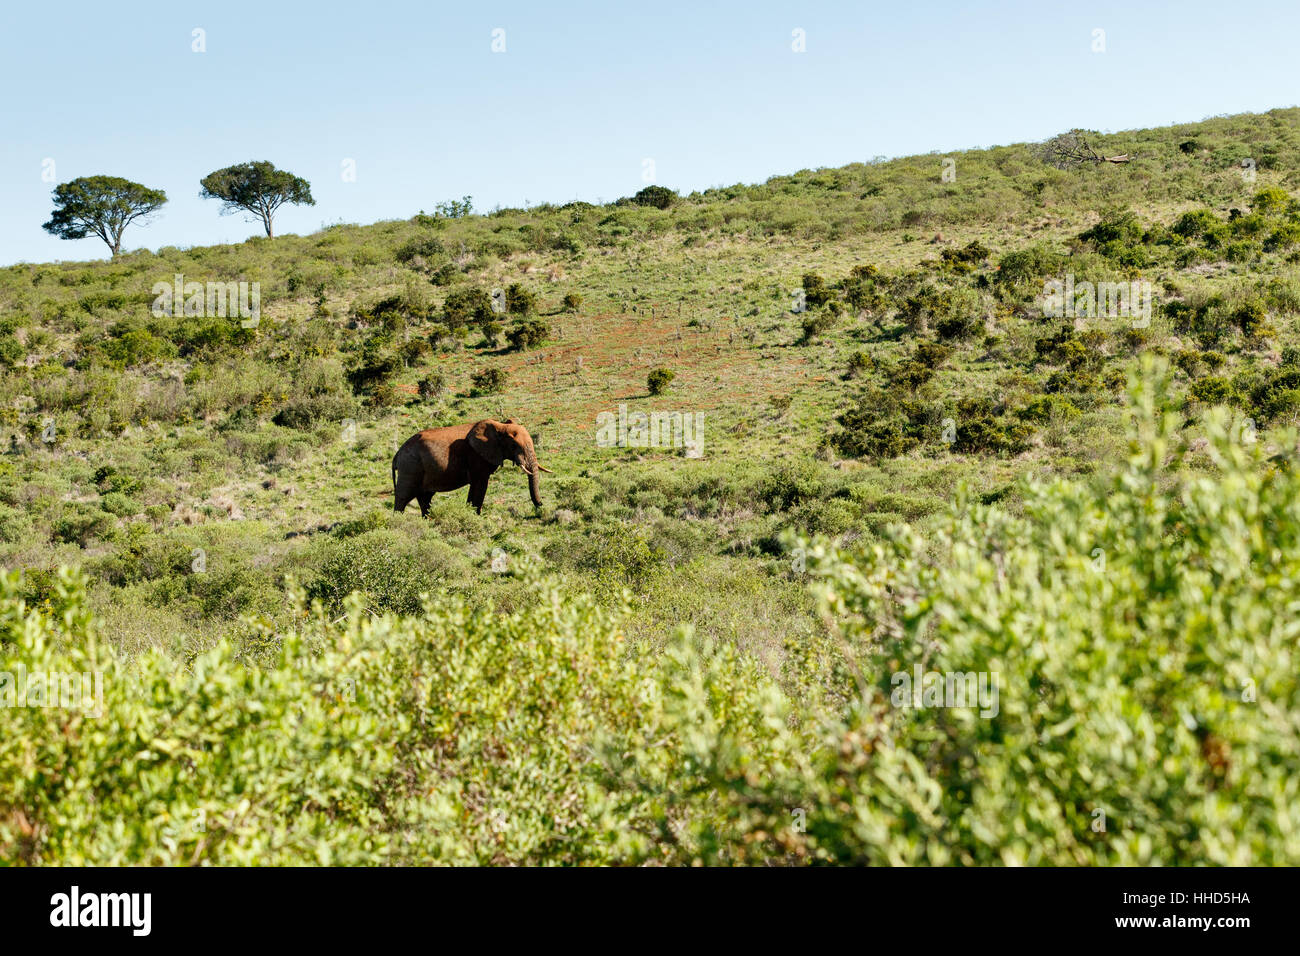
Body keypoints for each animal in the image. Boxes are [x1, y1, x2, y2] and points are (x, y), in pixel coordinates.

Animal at [387, 421, 546, 520]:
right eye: (514, 445)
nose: (541, 506)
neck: (500, 425)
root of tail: (397, 454)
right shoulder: (476, 456)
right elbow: (480, 485)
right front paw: (476, 517)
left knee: (425, 498)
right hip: (410, 467)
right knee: (404, 497)